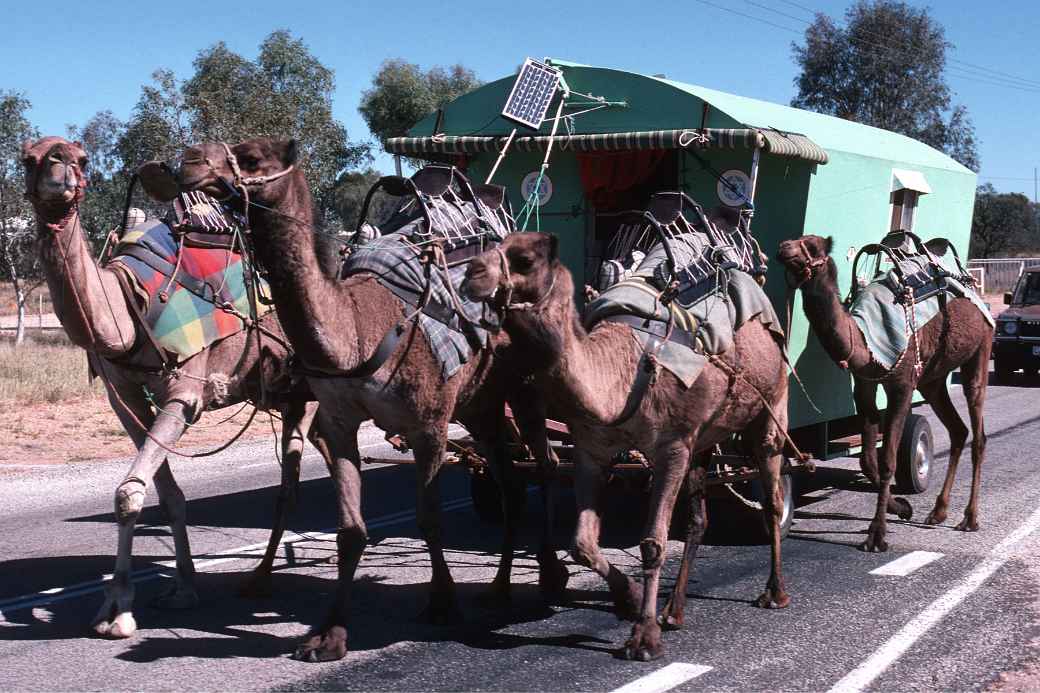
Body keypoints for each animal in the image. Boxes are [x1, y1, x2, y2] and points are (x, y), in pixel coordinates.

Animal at [21, 137, 328, 640]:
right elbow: (163, 495)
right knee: (298, 471)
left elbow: (128, 493)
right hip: (292, 393)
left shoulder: (186, 391)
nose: (59, 169)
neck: (129, 302)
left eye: (82, 160)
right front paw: (179, 588)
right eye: (28, 157)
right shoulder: (123, 398)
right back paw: (263, 574)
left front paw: (119, 611)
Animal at [174, 137, 565, 661]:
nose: (190, 163)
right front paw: (329, 634)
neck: (356, 334)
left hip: (522, 385)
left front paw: (442, 604)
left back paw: (551, 575)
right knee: (509, 480)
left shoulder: (428, 424)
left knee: (545, 465)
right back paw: (500, 587)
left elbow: (428, 518)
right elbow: (351, 530)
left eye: (253, 158)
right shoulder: (338, 421)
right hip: (480, 402)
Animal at [463, 231, 786, 657]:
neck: (619, 375)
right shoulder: (591, 450)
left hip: (771, 404)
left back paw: (774, 592)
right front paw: (629, 600)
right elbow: (583, 543)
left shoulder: (671, 448)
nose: (471, 274)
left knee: (772, 498)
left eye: (525, 259)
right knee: (699, 519)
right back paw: (673, 611)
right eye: (492, 246)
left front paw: (644, 637)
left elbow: (653, 542)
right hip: (704, 438)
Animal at [782, 233, 990, 549]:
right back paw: (938, 512)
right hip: (932, 378)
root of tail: (972, 288)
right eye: (795, 240)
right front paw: (902, 507)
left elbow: (888, 459)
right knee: (958, 430)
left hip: (980, 350)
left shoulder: (902, 384)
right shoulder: (865, 384)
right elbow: (869, 460)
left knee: (978, 431)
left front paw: (877, 534)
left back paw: (970, 519)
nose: (784, 248)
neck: (863, 338)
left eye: (813, 246)